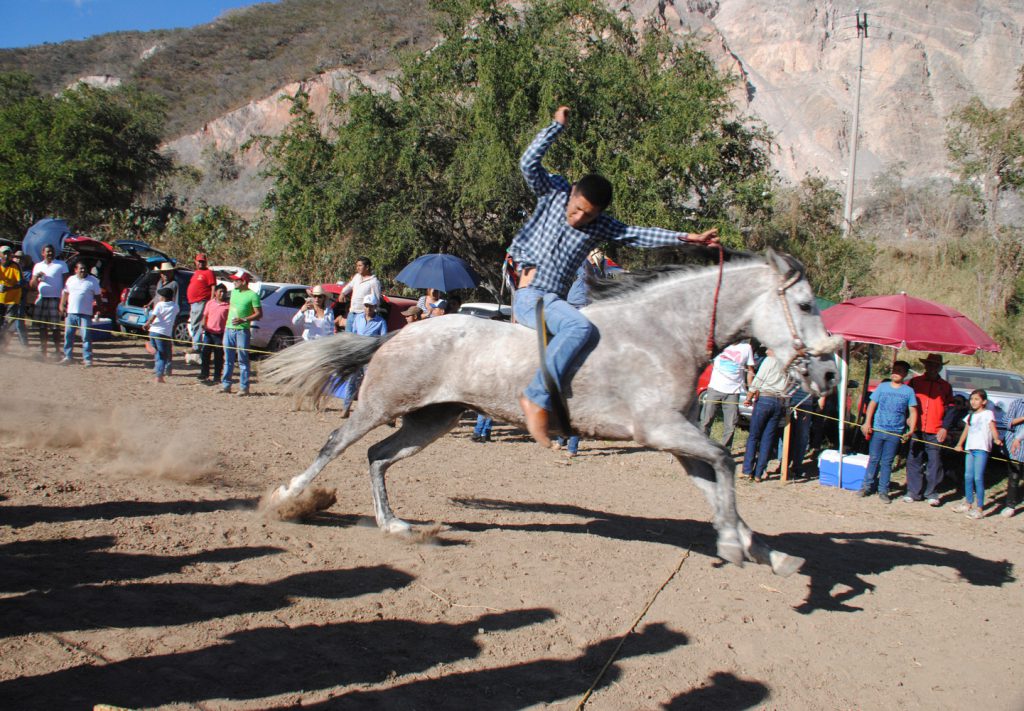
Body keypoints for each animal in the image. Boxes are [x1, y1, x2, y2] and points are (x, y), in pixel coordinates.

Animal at [262, 252, 839, 577]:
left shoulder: (676, 438)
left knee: (379, 457)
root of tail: (398, 332)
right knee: (335, 445)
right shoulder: (661, 430)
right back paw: (287, 499)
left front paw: (763, 552)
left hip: (434, 418)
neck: (662, 332)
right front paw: (735, 546)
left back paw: (395, 526)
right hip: (381, 405)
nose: (830, 374)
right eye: (806, 305)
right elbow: (724, 461)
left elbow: (716, 482)